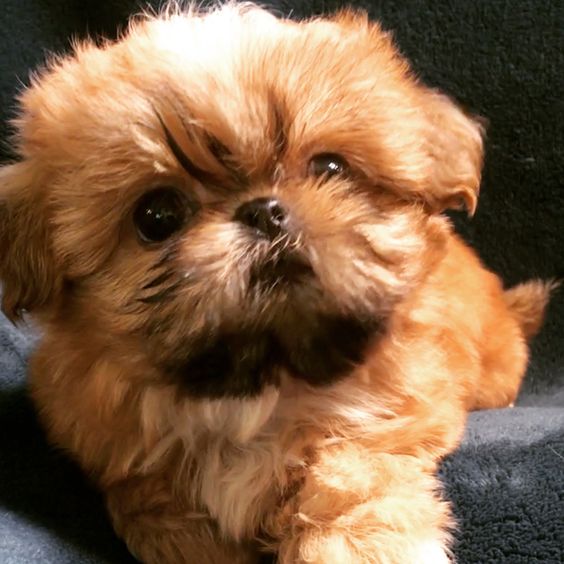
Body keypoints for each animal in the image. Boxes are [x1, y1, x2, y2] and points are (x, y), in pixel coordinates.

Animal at [0, 4, 552, 564]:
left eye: (329, 167)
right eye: (156, 216)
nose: (264, 211)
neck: (258, 384)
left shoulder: (378, 422)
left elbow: (350, 486)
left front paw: (360, 547)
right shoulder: (119, 453)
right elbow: (156, 509)